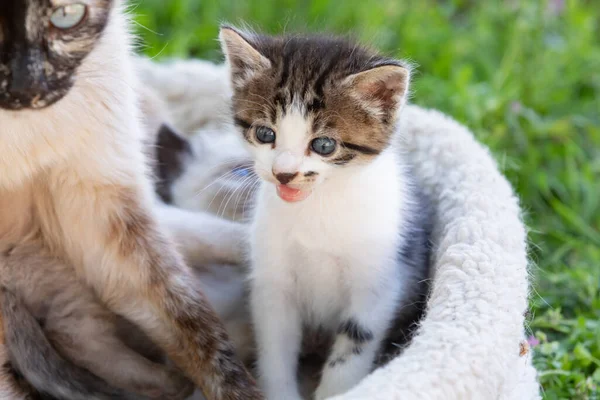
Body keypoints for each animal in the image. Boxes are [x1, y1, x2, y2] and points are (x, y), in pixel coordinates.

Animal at [0, 3, 260, 400]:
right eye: (241, 172)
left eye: (66, 17)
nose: (25, 87)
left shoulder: (102, 208)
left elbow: (197, 328)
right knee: (72, 334)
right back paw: (167, 383)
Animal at [220, 26, 432, 398]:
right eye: (265, 133)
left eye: (323, 145)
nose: (284, 174)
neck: (317, 208)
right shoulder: (273, 280)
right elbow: (276, 346)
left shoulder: (378, 285)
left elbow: (353, 346)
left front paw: (338, 389)